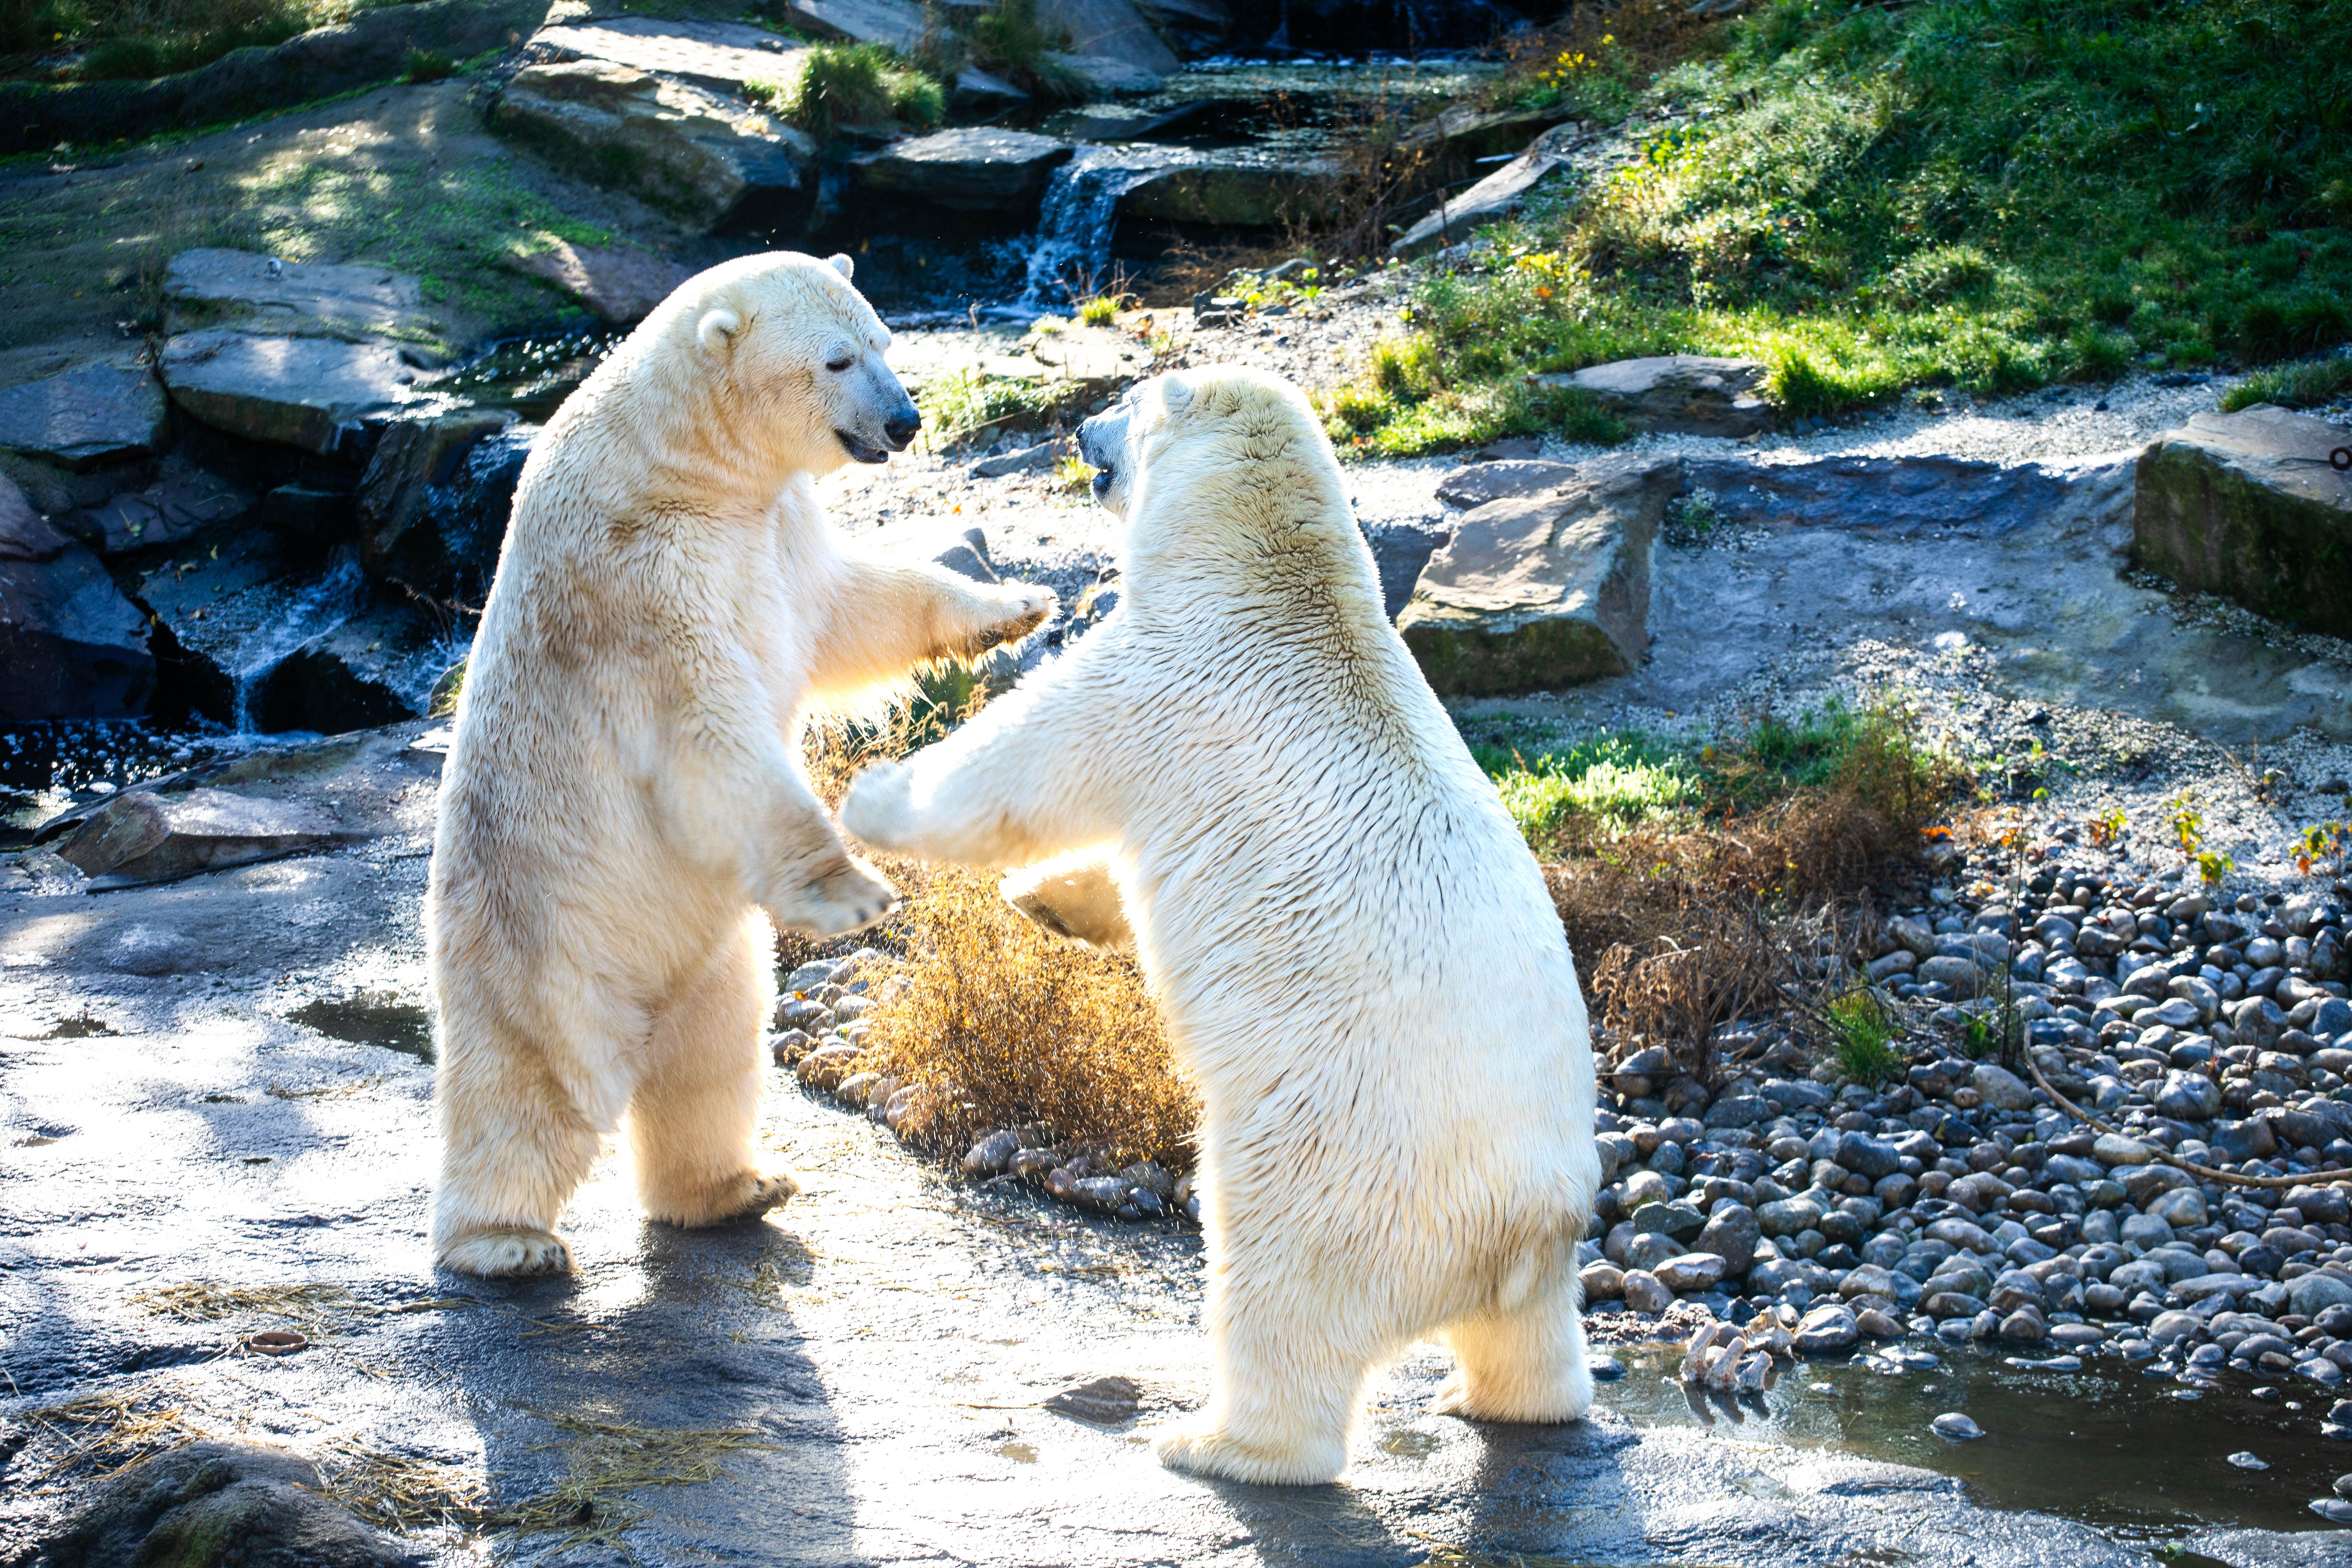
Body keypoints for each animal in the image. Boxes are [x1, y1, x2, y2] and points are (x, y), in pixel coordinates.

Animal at [427, 251, 1057, 1278]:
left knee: (712, 1059)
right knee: (528, 1087)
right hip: (532, 936)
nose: (907, 421)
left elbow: (855, 608)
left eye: (885, 342)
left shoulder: (775, 530)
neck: (684, 469)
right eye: (838, 360)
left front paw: (1014, 604)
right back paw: (505, 1242)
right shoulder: (639, 581)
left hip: (713, 951)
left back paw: (736, 1187)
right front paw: (854, 893)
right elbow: (712, 731)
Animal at [840, 365, 1599, 1484]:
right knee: (1533, 1340)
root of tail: (1513, 1234)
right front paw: (1043, 901)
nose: (1080, 426)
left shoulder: (1165, 679)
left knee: (1278, 1300)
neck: (1276, 581)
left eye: (1127, 400)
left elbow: (1024, 767)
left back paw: (1214, 1441)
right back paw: (1502, 1400)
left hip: (1335, 1172)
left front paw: (878, 794)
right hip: (1539, 1243)